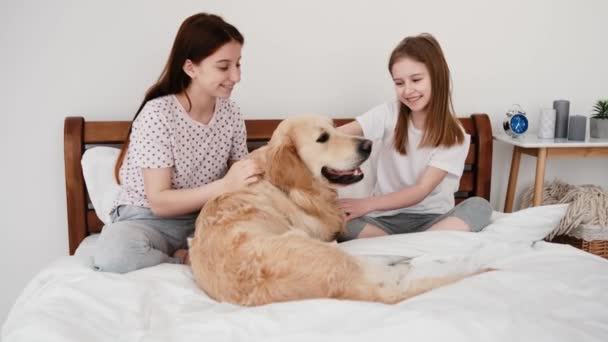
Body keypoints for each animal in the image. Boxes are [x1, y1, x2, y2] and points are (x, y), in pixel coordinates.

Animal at [190, 115, 484, 308]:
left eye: (335, 126)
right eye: (323, 137)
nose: (368, 144)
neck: (286, 185)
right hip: (325, 249)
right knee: (396, 270)